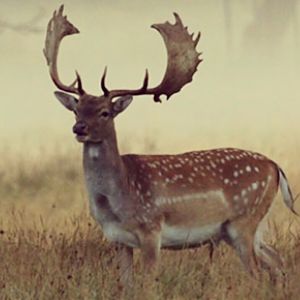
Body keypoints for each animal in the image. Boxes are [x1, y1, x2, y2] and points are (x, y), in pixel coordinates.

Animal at [44, 5, 298, 298]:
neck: (116, 202)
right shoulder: (118, 240)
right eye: (77, 109)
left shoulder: (151, 229)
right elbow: (126, 284)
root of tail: (275, 166)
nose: (79, 128)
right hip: (244, 228)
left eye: (105, 112)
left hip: (244, 220)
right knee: (276, 261)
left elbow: (148, 283)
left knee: (257, 273)